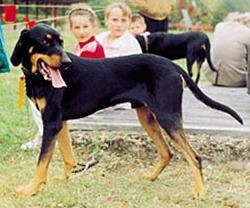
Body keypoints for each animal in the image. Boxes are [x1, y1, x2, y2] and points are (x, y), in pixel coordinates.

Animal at [10, 23, 242, 197]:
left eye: (60, 42)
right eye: (45, 41)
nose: (66, 63)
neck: (39, 78)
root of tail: (172, 66)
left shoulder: (52, 122)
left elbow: (42, 163)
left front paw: (30, 189)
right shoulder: (61, 122)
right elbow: (68, 157)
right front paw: (65, 180)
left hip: (167, 117)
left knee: (194, 157)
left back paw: (199, 193)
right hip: (147, 117)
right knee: (167, 152)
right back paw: (151, 177)